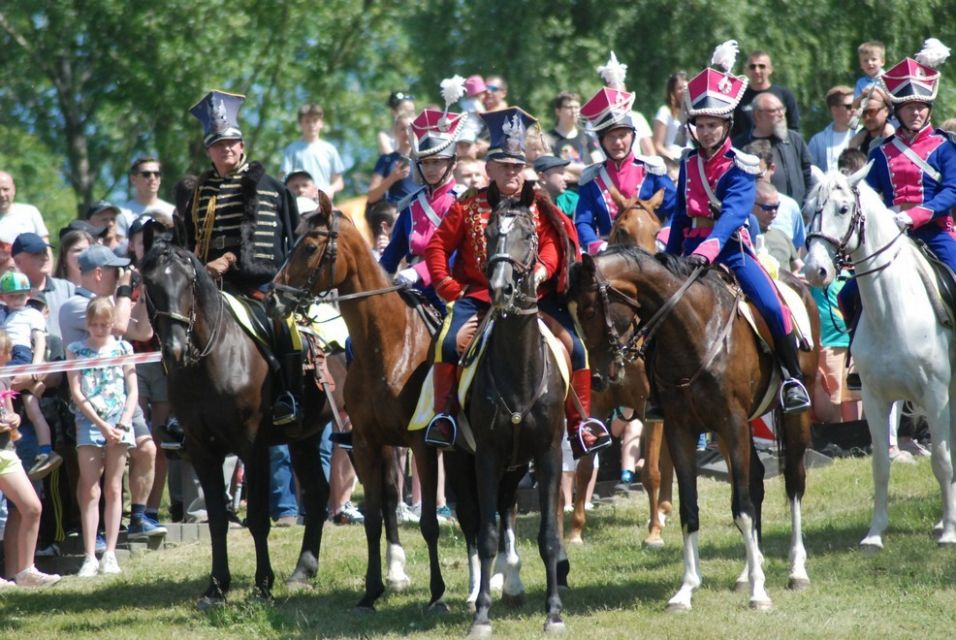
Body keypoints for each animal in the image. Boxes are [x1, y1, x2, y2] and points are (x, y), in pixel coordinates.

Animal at [138, 236, 332, 608]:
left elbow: (257, 518)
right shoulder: (201, 450)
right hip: (305, 436)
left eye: (188, 283)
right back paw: (304, 571)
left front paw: (262, 584)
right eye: (150, 285)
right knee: (317, 493)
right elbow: (216, 520)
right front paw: (217, 586)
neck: (211, 360)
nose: (173, 350)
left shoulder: (252, 447)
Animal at [268, 198, 448, 612]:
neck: (389, 345)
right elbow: (373, 519)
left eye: (309, 247)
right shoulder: (367, 442)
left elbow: (429, 522)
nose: (273, 296)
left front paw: (437, 593)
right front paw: (371, 590)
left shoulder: (421, 444)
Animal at [572, 246, 816, 608]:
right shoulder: (681, 430)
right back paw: (747, 572)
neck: (692, 329)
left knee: (794, 482)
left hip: (791, 417)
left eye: (589, 311)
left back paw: (796, 570)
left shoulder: (731, 423)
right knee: (757, 479)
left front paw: (759, 592)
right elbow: (689, 509)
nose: (600, 378)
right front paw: (686, 589)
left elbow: (742, 507)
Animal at [808, 165, 956, 552]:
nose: (814, 270)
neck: (892, 310)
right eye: (810, 207)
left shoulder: (935, 395)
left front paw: (950, 533)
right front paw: (874, 534)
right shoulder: (876, 398)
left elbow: (942, 460)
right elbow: (880, 466)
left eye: (843, 208)